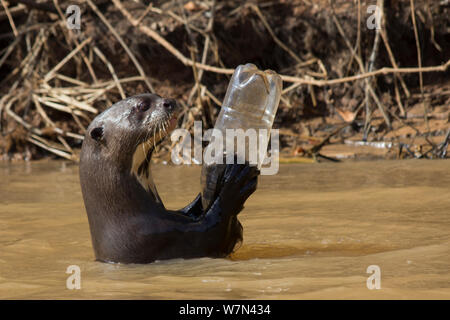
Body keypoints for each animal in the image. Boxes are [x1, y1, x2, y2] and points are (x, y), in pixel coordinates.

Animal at [79, 94, 258, 264]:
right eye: (143, 105)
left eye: (157, 95)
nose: (170, 101)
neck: (128, 215)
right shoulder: (158, 237)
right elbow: (215, 231)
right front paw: (235, 182)